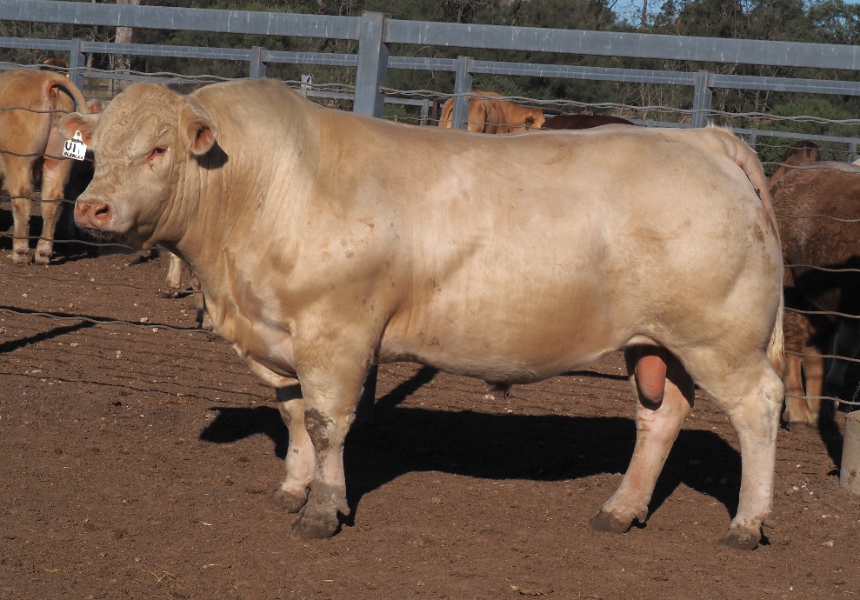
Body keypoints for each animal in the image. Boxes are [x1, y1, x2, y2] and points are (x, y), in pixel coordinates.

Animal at [0, 69, 94, 264]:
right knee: (53, 198)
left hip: (18, 158)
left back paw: (20, 251)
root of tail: (46, 78)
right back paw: (43, 252)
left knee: (22, 196)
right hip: (57, 159)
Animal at [59, 79, 784, 550]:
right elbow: (293, 415)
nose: (91, 208)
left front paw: (322, 510)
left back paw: (746, 524)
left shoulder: (336, 335)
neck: (263, 189)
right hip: (658, 341)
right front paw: (293, 486)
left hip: (722, 340)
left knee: (759, 408)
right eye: (98, 149)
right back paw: (621, 508)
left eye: (159, 149)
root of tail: (705, 140)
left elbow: (326, 423)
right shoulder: (277, 338)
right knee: (660, 417)